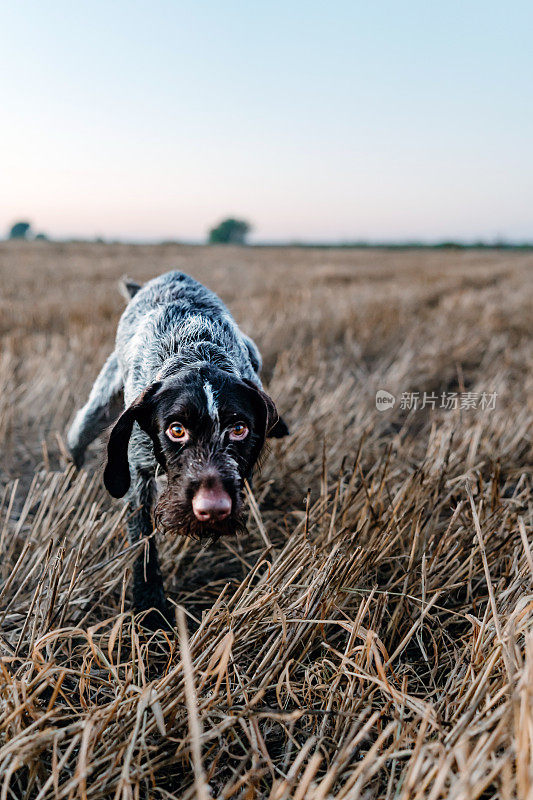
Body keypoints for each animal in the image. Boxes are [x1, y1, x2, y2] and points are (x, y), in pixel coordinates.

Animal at [69, 272, 290, 628]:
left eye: (239, 429)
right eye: (176, 430)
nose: (212, 508)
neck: (197, 351)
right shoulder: (138, 473)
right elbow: (143, 540)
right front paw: (149, 606)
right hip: (99, 407)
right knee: (77, 433)